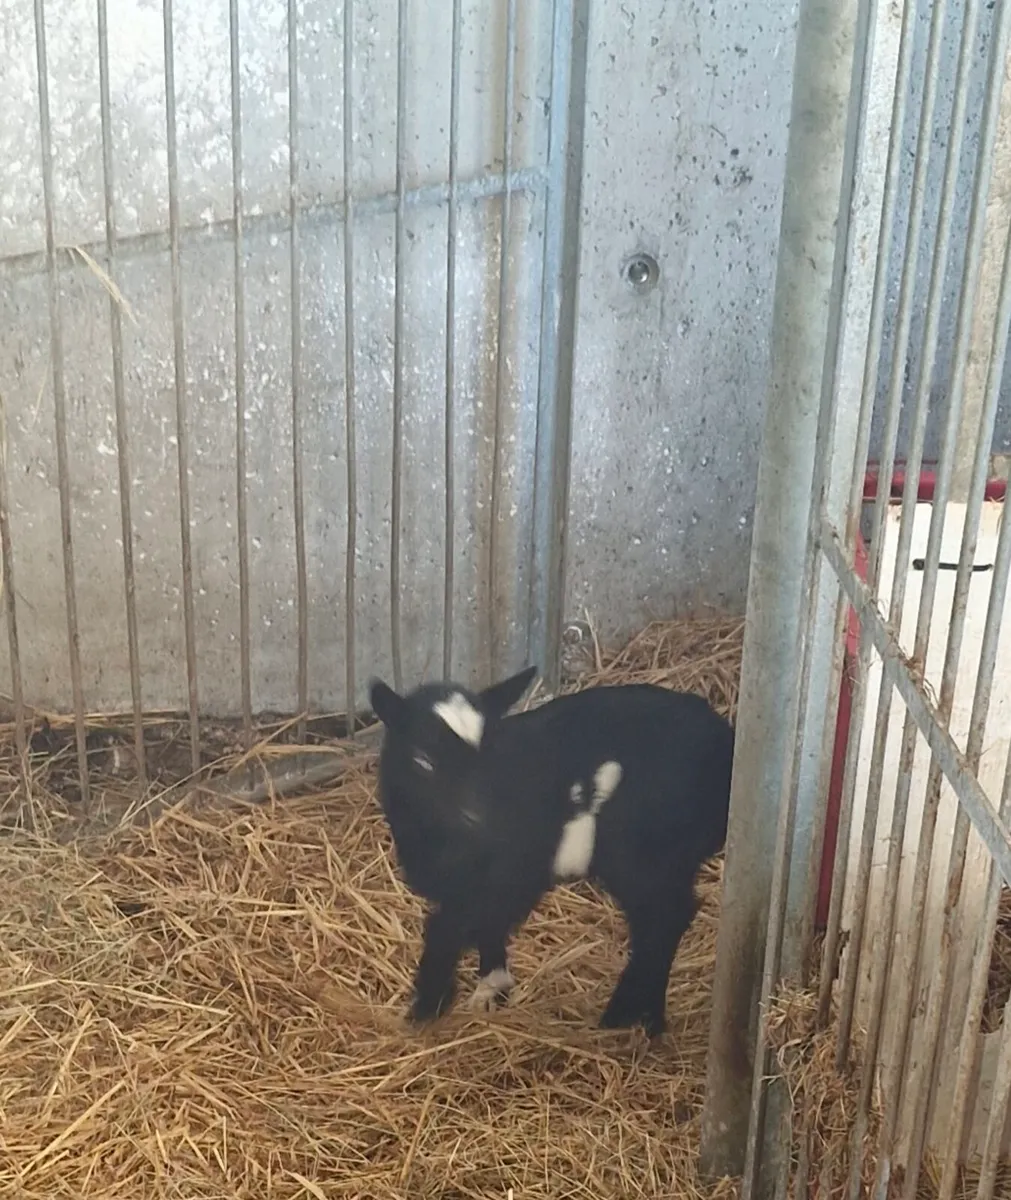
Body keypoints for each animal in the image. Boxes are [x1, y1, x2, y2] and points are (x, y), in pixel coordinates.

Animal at [368, 665, 734, 1037]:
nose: (479, 820)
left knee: (664, 916)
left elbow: (449, 926)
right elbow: (481, 925)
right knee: (664, 917)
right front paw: (492, 988)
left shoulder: (514, 870)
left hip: (641, 849)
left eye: (492, 755)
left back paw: (624, 1013)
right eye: (423, 761)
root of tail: (726, 743)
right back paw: (644, 1015)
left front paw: (429, 1003)